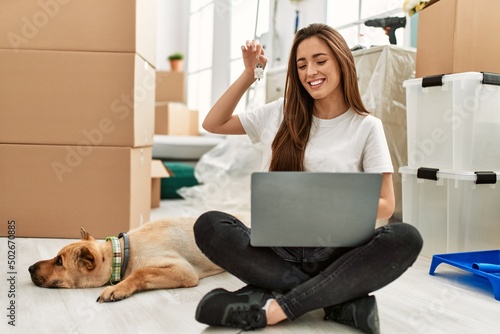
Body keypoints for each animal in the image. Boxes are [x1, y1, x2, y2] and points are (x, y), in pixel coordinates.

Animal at [27, 218, 223, 302]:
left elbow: (141, 272)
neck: (121, 252)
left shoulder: (183, 270)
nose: (29, 268)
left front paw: (117, 288)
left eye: (59, 262)